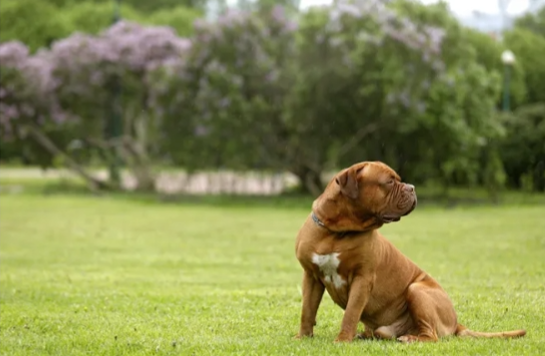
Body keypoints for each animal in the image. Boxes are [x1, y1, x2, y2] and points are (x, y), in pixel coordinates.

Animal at [296, 161, 524, 342]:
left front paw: (342, 340)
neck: (336, 231)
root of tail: (456, 322)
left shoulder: (362, 278)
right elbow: (307, 310)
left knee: (431, 335)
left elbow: (351, 313)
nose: (412, 187)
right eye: (389, 182)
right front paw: (303, 337)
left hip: (417, 289)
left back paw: (410, 338)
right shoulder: (311, 277)